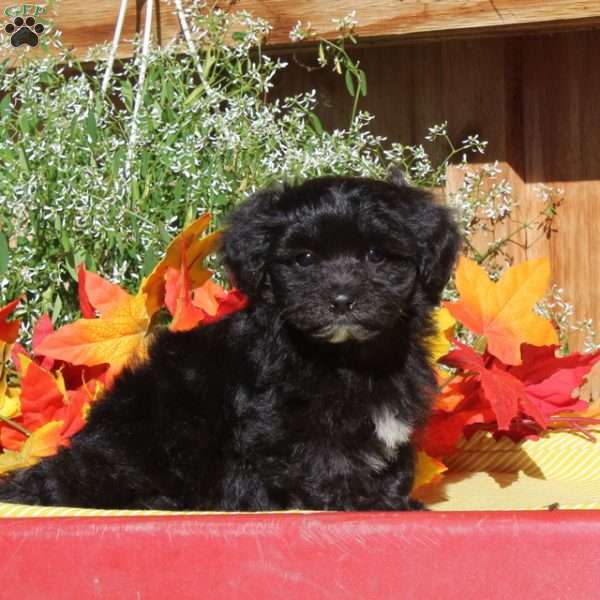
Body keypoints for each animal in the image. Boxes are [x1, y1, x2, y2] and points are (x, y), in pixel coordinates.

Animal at [0, 176, 460, 508]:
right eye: (305, 259)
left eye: (376, 256)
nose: (342, 300)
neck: (347, 356)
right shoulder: (285, 421)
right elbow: (324, 462)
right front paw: (365, 503)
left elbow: (395, 465)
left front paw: (393, 496)